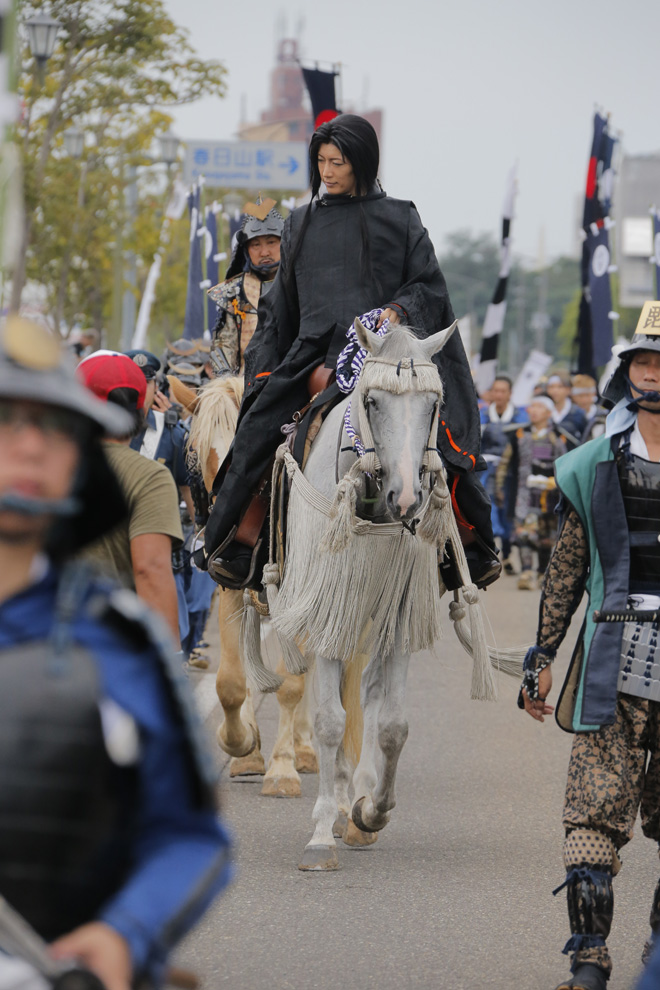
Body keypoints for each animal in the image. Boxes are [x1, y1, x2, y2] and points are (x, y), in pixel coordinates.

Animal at [179, 373, 318, 797]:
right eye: (198, 450)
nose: (218, 516)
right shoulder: (230, 585)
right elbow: (231, 682)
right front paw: (242, 746)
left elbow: (292, 683)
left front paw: (282, 768)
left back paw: (304, 748)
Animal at [241, 320, 520, 869]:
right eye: (371, 401)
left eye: (435, 404)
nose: (407, 497)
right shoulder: (328, 608)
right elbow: (329, 719)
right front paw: (321, 835)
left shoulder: (397, 614)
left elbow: (392, 724)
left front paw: (370, 811)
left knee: (367, 693)